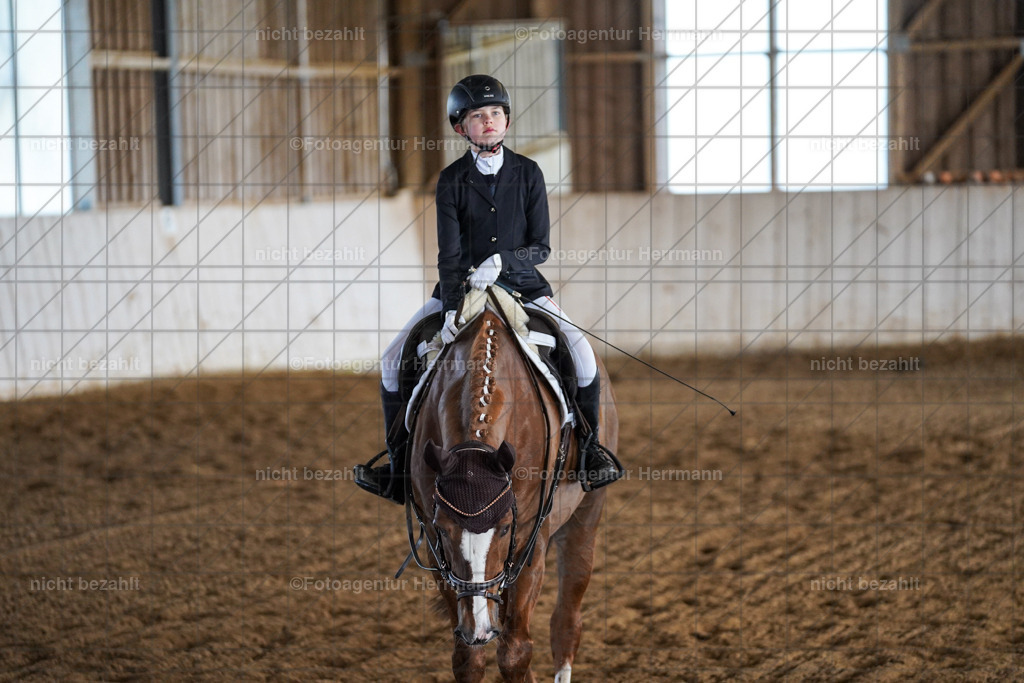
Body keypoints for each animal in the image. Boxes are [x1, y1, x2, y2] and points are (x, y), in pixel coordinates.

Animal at [401, 292, 617, 682]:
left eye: (504, 528)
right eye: (444, 528)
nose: (479, 630)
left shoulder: (531, 536)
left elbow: (516, 652)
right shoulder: (438, 549)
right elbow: (468, 658)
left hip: (585, 516)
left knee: (567, 620)